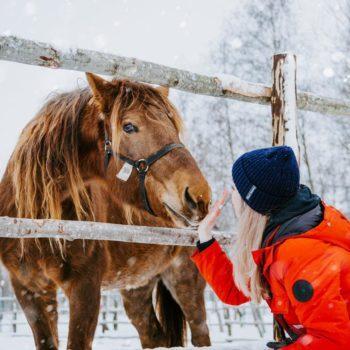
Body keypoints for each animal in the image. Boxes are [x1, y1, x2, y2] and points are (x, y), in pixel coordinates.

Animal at [0, 74, 212, 350]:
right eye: (129, 127)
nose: (199, 196)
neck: (38, 224)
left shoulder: (85, 287)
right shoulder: (29, 290)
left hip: (185, 280)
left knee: (200, 330)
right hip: (137, 287)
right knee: (153, 335)